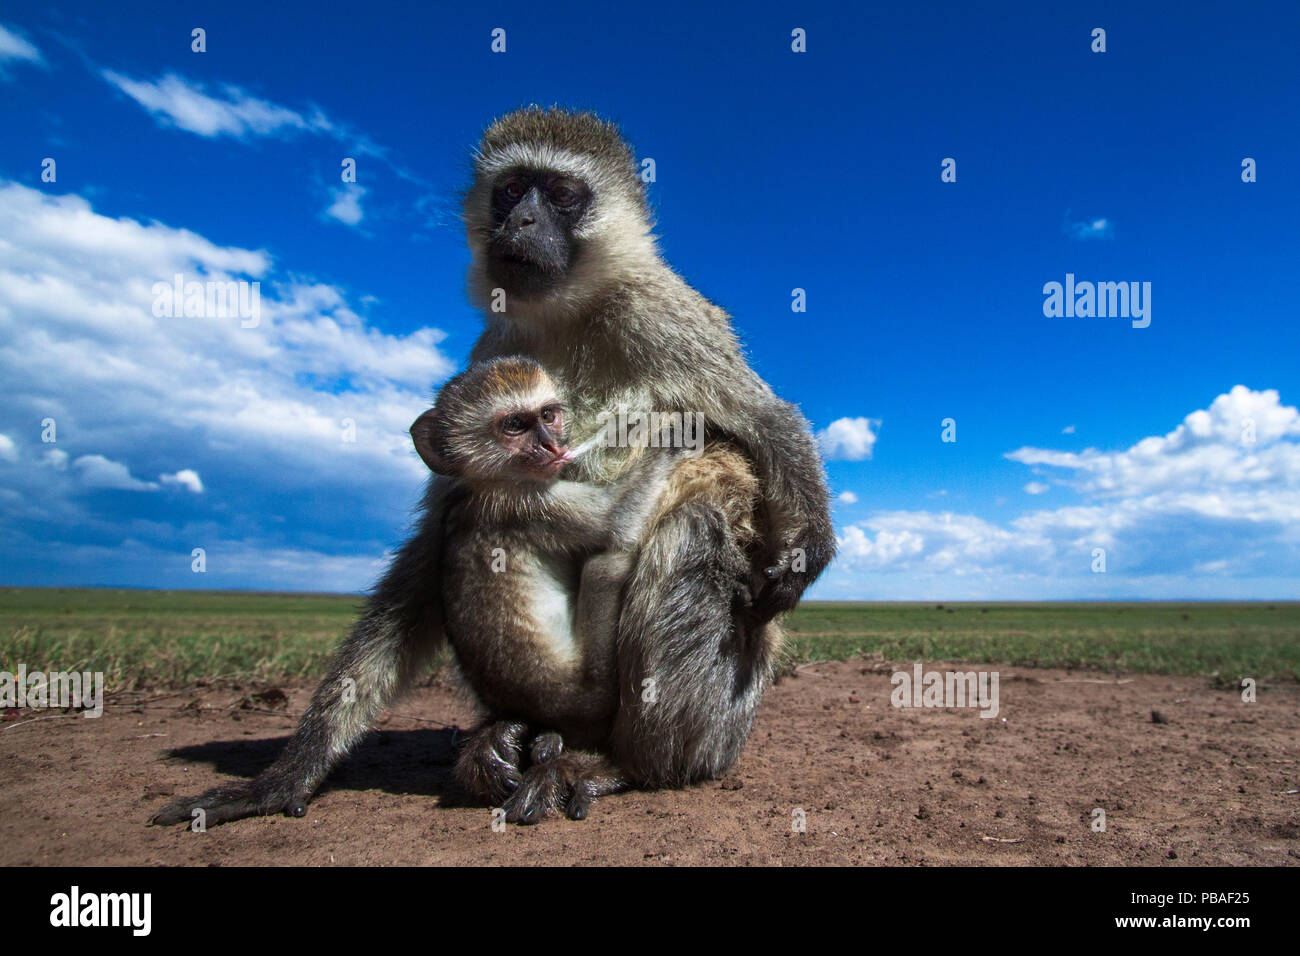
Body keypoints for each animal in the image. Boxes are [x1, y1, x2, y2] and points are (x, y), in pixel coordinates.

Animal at [410, 355, 682, 821]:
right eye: (516, 425)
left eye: (548, 415)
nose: (554, 447)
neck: (490, 480)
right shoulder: (533, 504)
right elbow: (614, 522)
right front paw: (667, 428)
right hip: (592, 689)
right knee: (608, 563)